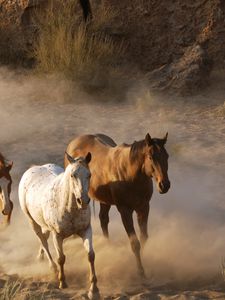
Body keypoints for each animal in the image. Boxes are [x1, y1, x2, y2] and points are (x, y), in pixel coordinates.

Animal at [17, 154, 98, 298]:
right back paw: (53, 268)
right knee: (43, 241)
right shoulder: (57, 235)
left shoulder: (86, 230)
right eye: (72, 175)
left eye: (89, 175)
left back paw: (40, 257)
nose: (83, 201)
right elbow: (61, 258)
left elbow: (90, 255)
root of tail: (32, 169)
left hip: (44, 225)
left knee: (44, 238)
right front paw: (62, 282)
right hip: (32, 222)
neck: (68, 207)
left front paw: (93, 290)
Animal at [65, 132, 171, 278]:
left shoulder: (143, 208)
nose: (164, 185)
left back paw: (108, 245)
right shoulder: (125, 211)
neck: (130, 174)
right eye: (151, 157)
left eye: (167, 156)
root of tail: (74, 142)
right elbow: (135, 243)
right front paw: (140, 270)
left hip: (105, 201)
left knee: (103, 219)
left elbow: (143, 238)